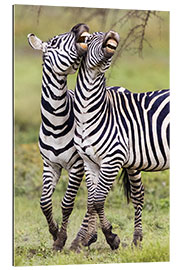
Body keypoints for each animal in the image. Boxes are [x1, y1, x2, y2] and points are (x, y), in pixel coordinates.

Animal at [27, 22, 97, 251]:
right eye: (56, 42)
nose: (80, 26)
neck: (55, 124)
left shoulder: (76, 166)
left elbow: (67, 203)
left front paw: (61, 239)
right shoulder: (50, 165)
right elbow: (44, 202)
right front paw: (54, 232)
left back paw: (89, 236)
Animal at [73, 30, 169, 250]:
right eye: (90, 38)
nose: (112, 33)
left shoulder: (112, 159)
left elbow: (98, 200)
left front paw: (111, 237)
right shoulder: (90, 162)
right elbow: (91, 201)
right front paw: (83, 239)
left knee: (137, 194)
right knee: (138, 194)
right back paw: (136, 239)